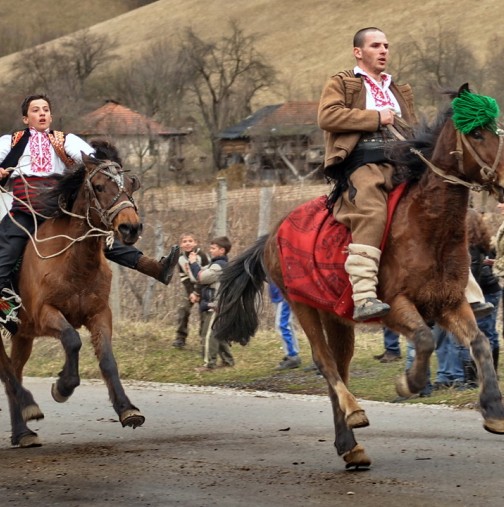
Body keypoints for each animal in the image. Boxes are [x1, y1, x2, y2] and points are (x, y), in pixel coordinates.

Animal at [0, 143, 146, 448]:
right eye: (99, 186)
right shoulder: (44, 313)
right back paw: (29, 405)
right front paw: (63, 386)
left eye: (130, 184)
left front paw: (127, 408)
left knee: (14, 369)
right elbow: (72, 340)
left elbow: (108, 360)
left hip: (22, 335)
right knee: (6, 370)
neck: (74, 260)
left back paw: (23, 432)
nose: (131, 227)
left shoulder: (99, 313)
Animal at [216, 88, 504, 472]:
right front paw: (409, 383)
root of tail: (273, 233)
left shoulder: (449, 302)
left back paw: (349, 446)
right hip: (301, 305)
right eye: (477, 134)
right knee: (325, 363)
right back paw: (354, 415)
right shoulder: (395, 305)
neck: (428, 226)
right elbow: (425, 339)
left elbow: (480, 344)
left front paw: (493, 411)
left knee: (339, 367)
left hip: (336, 317)